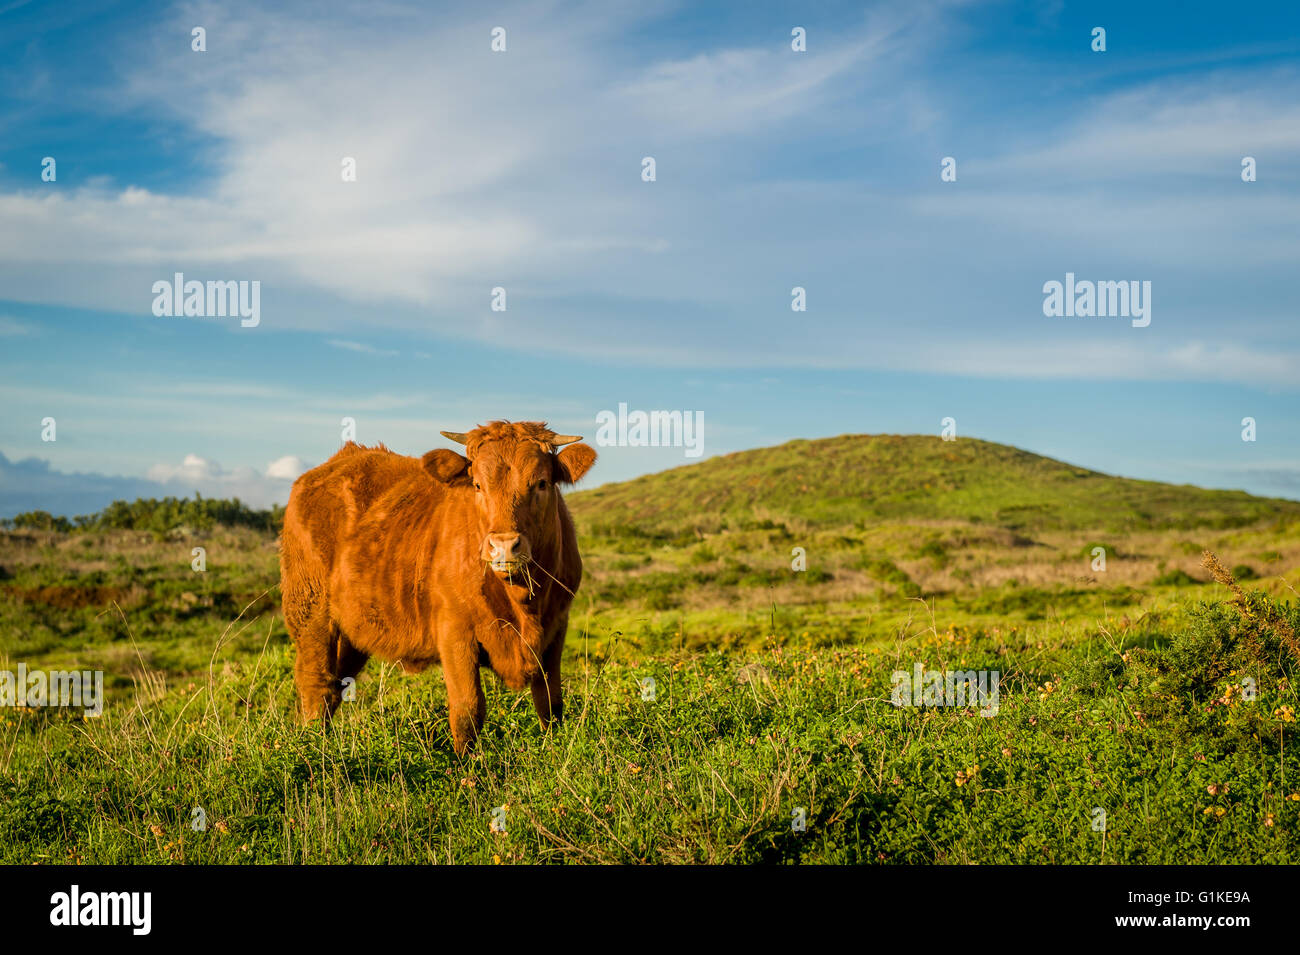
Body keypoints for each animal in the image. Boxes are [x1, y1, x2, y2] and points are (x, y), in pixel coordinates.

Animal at [282, 420, 595, 748]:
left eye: (542, 483)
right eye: (478, 485)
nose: (504, 546)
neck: (522, 604)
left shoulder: (557, 627)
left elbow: (550, 704)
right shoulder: (455, 630)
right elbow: (467, 710)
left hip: (354, 631)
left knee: (336, 685)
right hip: (310, 613)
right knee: (316, 683)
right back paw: (312, 744)